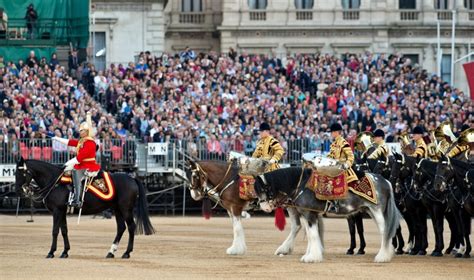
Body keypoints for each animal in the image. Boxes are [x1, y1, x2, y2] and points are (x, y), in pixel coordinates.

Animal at [14, 159, 155, 260]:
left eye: (22, 172)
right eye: (15, 172)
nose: (18, 191)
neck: (55, 182)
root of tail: (131, 177)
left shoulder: (57, 211)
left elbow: (55, 231)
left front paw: (51, 252)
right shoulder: (62, 211)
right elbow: (64, 230)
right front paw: (65, 252)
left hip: (125, 209)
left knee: (131, 227)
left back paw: (127, 252)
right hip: (117, 209)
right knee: (121, 228)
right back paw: (111, 252)